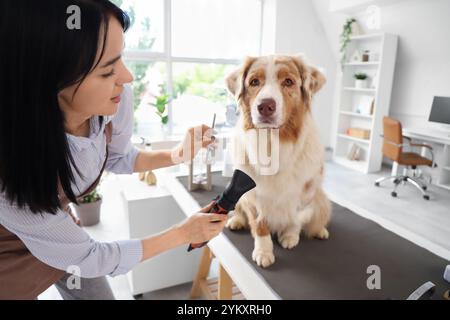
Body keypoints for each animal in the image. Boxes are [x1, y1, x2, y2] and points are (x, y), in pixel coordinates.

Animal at [225, 54, 330, 268]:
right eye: (254, 82)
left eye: (288, 82)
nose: (265, 106)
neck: (272, 145)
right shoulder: (252, 195)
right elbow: (259, 225)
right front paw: (264, 252)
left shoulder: (306, 190)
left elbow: (296, 218)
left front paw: (290, 235)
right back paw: (236, 221)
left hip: (321, 199)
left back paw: (320, 231)